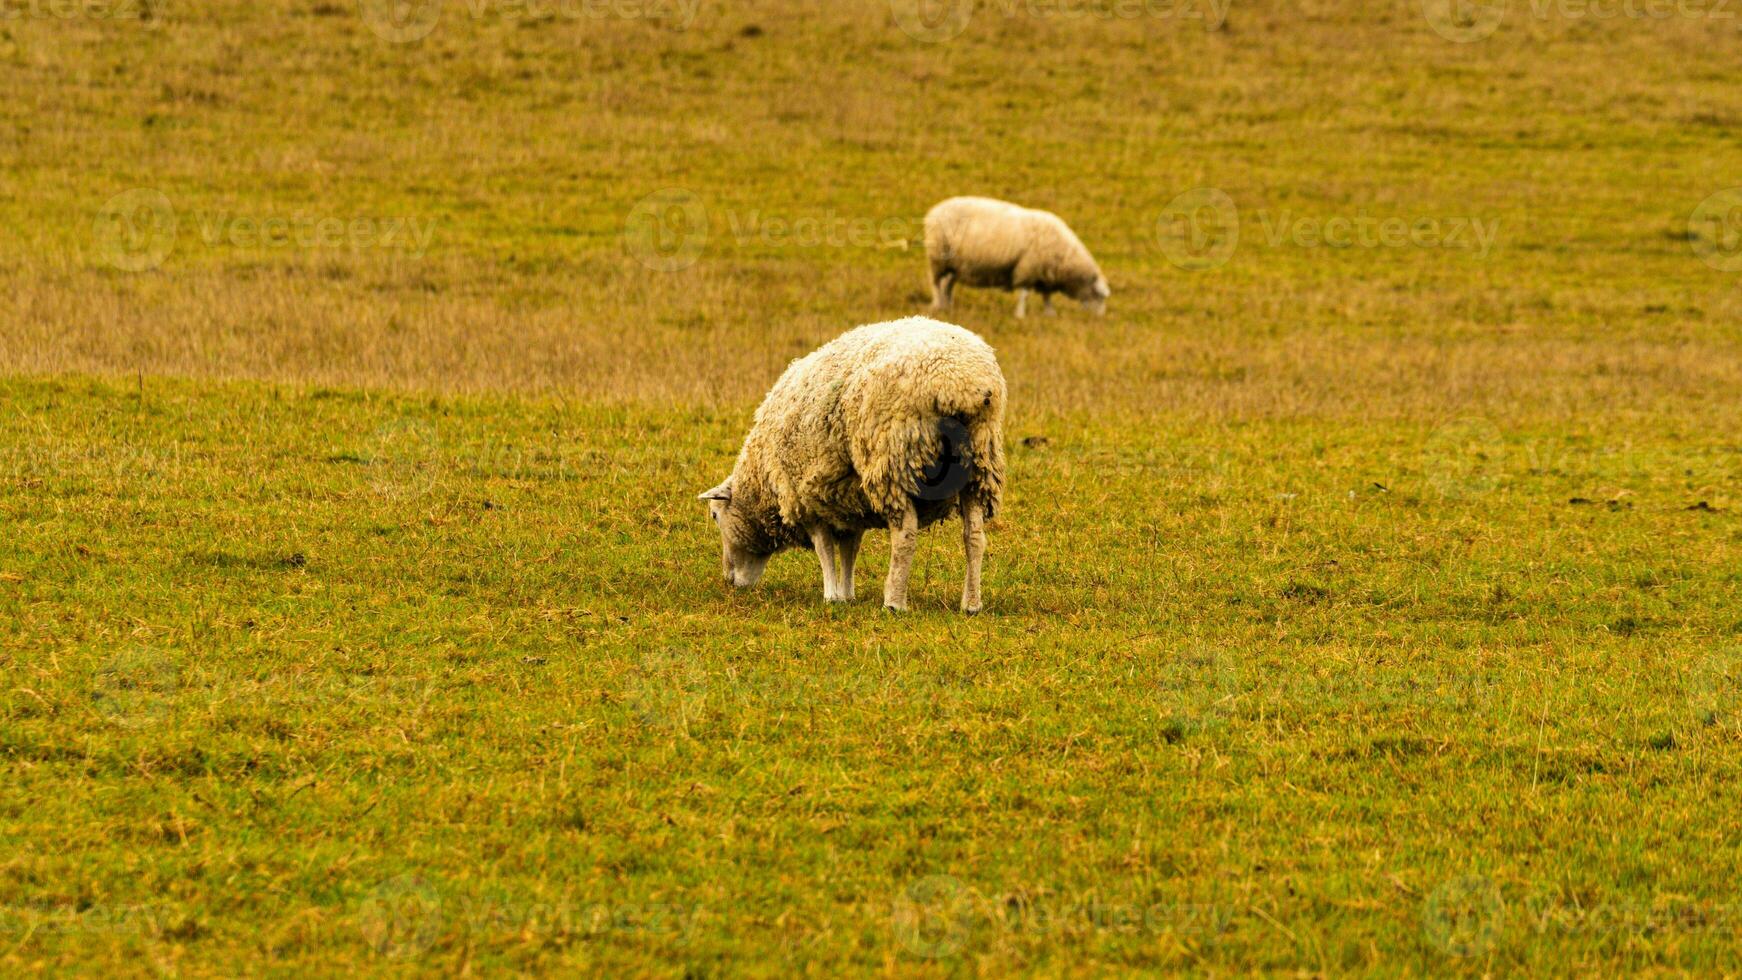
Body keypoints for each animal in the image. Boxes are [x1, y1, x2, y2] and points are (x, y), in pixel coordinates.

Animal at [696, 318, 1010, 612]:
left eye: (715, 515)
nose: (729, 581)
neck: (763, 481)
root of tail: (962, 383)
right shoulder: (848, 501)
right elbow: (850, 549)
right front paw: (847, 594)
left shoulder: (806, 500)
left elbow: (824, 549)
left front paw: (831, 595)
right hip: (980, 462)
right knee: (974, 535)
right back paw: (971, 604)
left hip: (894, 459)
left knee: (905, 535)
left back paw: (894, 602)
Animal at [919, 197, 1107, 320]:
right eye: (1100, 296)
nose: (1099, 318)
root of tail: (934, 210)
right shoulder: (1027, 268)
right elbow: (1024, 294)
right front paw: (1020, 315)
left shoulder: (1043, 274)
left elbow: (1046, 296)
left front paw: (1049, 314)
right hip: (938, 256)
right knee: (936, 283)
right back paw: (937, 304)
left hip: (956, 264)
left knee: (948, 285)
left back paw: (948, 305)